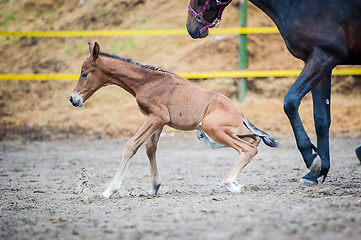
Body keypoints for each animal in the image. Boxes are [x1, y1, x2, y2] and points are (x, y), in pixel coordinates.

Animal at [70, 42, 278, 199]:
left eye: (84, 73)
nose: (73, 99)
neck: (148, 82)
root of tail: (240, 113)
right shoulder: (155, 120)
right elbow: (150, 148)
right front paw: (154, 186)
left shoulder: (157, 117)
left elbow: (131, 145)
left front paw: (109, 190)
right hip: (215, 134)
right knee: (253, 140)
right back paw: (235, 181)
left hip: (213, 129)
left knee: (248, 148)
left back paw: (231, 184)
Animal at [186, 0, 360, 185]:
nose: (190, 26)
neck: (302, 7)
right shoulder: (323, 64)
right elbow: (321, 119)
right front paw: (318, 170)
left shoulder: (323, 57)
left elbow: (290, 101)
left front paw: (310, 158)